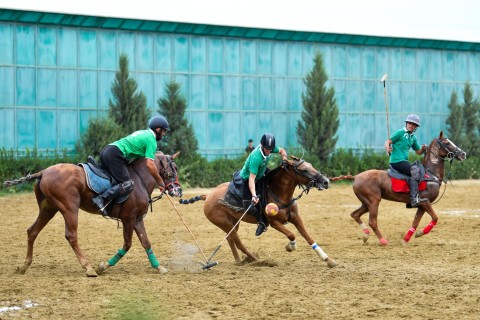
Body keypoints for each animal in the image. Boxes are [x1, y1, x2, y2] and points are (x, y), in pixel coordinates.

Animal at [2, 151, 182, 276]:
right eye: (174, 168)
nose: (178, 190)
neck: (140, 179)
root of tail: (43, 172)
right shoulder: (129, 219)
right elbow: (127, 244)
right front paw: (103, 266)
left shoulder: (137, 219)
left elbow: (146, 243)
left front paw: (159, 267)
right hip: (69, 208)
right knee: (71, 236)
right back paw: (88, 267)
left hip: (48, 208)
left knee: (32, 231)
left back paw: (24, 266)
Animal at [179, 156, 338, 268]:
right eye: (304, 170)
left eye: (311, 165)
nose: (325, 181)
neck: (279, 193)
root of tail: (207, 195)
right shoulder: (274, 223)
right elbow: (291, 234)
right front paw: (290, 246)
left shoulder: (296, 218)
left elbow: (309, 238)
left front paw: (328, 260)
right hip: (224, 223)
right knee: (238, 242)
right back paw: (258, 261)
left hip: (233, 223)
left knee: (230, 239)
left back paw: (239, 261)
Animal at [330, 131, 464, 246]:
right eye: (447, 143)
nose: (463, 154)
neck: (430, 174)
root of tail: (356, 176)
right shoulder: (425, 201)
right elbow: (435, 218)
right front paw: (420, 233)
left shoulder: (422, 205)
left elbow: (415, 222)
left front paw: (407, 239)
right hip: (373, 201)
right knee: (372, 222)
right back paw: (383, 240)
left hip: (366, 202)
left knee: (355, 214)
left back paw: (366, 235)